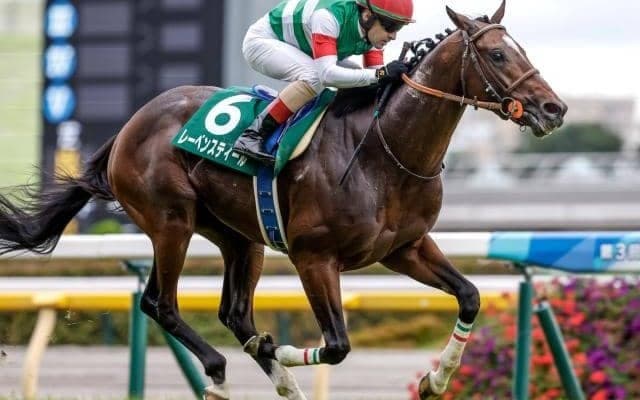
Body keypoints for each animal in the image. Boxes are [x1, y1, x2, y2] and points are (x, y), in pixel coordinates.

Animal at [0, 1, 566, 399]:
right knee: (160, 302)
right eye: (497, 54)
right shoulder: (314, 258)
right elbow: (337, 346)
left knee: (234, 313)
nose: (553, 108)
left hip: (238, 236)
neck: (384, 151)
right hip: (170, 221)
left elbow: (469, 296)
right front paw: (281, 351)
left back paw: (275, 376)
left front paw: (436, 380)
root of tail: (126, 128)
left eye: (522, 50)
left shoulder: (405, 248)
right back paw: (223, 371)